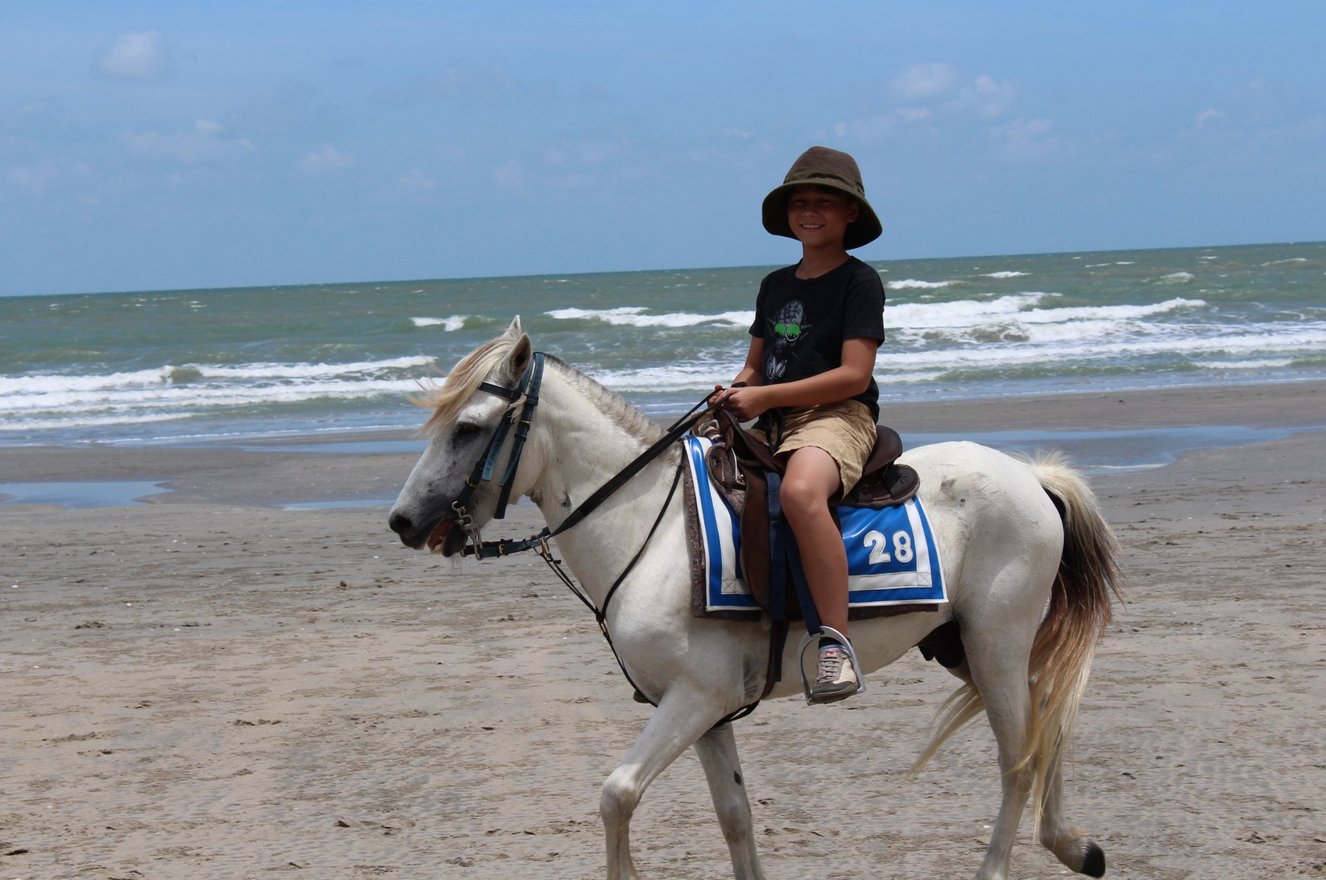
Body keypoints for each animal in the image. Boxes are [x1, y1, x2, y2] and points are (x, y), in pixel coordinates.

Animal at [388, 318, 1122, 880]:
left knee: (1018, 759)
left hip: (996, 641)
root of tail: (1029, 475)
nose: (401, 520)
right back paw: (1075, 846)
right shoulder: (707, 712)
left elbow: (617, 794)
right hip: (960, 644)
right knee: (1047, 723)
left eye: (468, 427)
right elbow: (735, 816)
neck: (652, 528)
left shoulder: (694, 698)